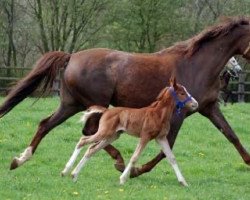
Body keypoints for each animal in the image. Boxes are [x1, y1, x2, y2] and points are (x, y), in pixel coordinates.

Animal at [61, 78, 198, 186]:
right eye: (182, 93)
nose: (195, 104)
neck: (159, 114)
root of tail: (106, 111)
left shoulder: (161, 138)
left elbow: (171, 158)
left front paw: (183, 182)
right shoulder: (145, 136)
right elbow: (134, 157)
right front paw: (122, 179)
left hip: (112, 136)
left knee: (91, 149)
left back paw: (74, 175)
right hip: (105, 133)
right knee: (83, 141)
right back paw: (66, 171)